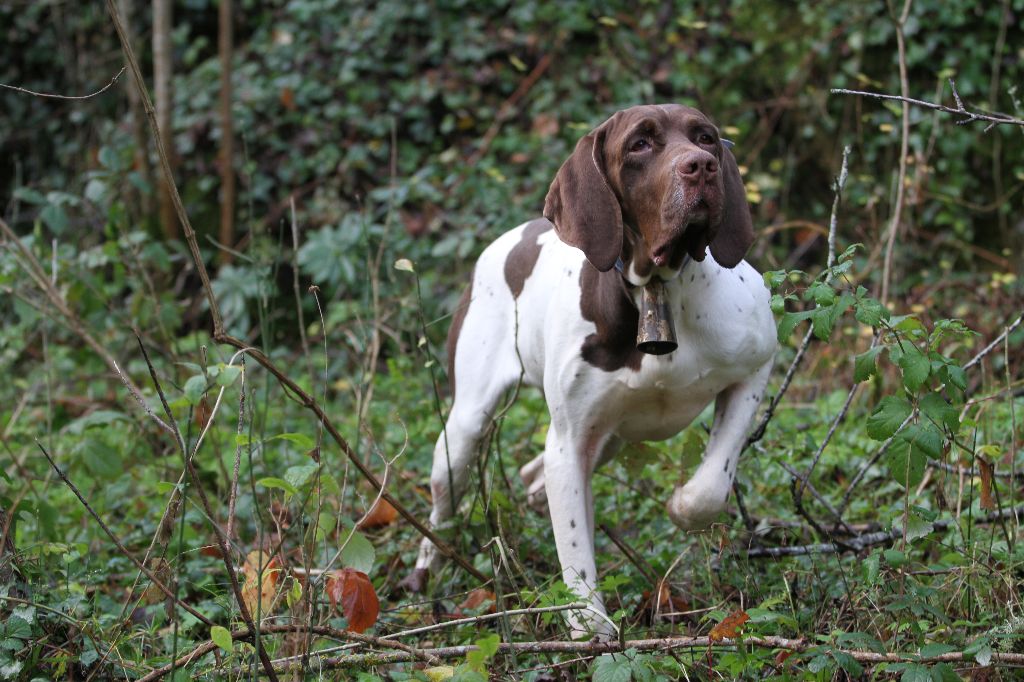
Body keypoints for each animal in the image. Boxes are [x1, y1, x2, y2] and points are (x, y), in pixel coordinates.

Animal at [403, 103, 770, 634]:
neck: (657, 290)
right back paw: (424, 571)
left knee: (536, 474)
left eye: (705, 137)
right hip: (465, 431)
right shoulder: (569, 441)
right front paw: (590, 627)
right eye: (639, 144)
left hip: (606, 438)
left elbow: (711, 485)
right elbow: (575, 550)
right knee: (445, 507)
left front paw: (681, 505)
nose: (702, 166)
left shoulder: (755, 367)